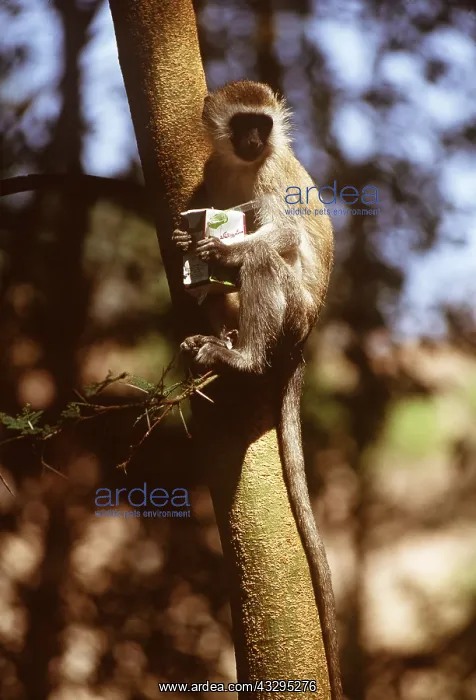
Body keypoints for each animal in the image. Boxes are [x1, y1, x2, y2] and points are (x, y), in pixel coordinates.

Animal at [172, 80, 342, 699]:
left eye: (262, 127)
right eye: (243, 123)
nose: (252, 140)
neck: (244, 167)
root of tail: (305, 336)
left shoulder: (271, 176)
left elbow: (282, 231)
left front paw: (221, 249)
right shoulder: (213, 174)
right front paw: (189, 236)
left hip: (291, 310)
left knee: (268, 255)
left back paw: (242, 356)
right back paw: (216, 335)